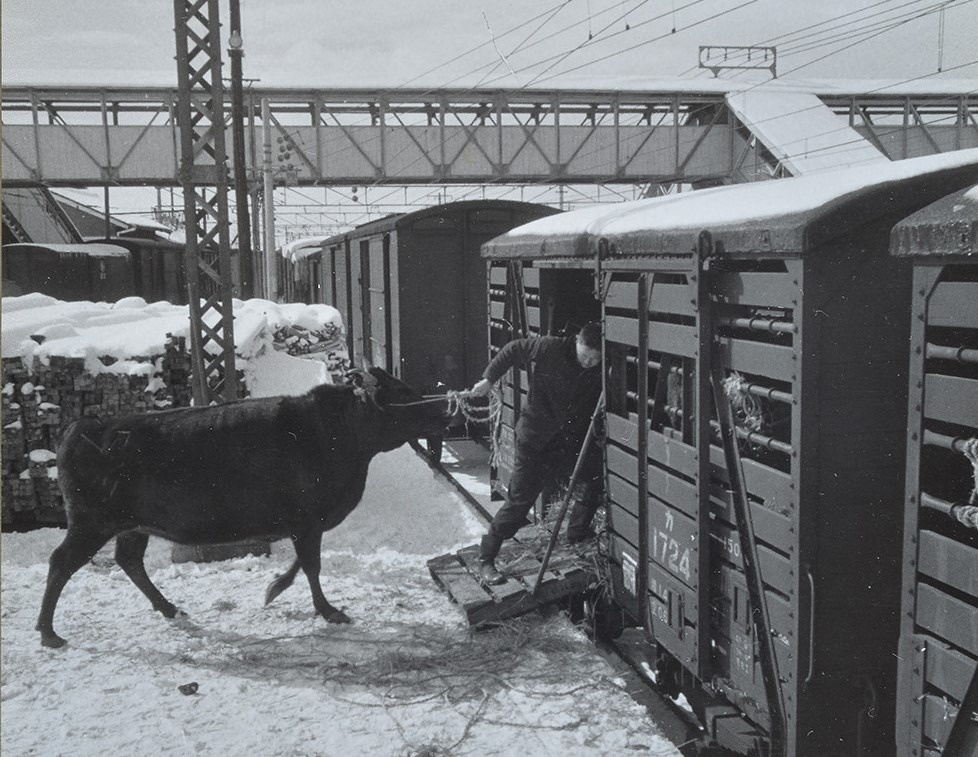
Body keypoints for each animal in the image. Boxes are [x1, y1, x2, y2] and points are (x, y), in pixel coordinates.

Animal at [36, 366, 450, 644]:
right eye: (403, 392)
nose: (443, 410)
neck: (336, 434)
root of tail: (80, 426)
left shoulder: (306, 522)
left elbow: (301, 563)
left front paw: (274, 588)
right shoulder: (307, 520)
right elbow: (311, 565)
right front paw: (329, 611)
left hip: (132, 526)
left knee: (129, 561)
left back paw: (170, 608)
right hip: (91, 523)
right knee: (61, 562)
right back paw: (48, 632)